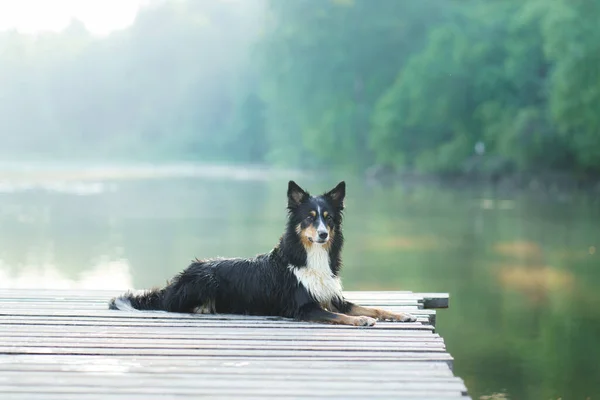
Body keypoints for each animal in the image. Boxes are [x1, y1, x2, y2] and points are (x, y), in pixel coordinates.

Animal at [108, 180, 414, 326]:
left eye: (328, 218)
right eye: (310, 217)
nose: (323, 235)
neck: (310, 255)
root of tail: (176, 280)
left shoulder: (332, 296)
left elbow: (369, 306)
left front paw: (400, 315)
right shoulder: (302, 307)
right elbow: (341, 316)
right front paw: (361, 320)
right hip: (207, 279)